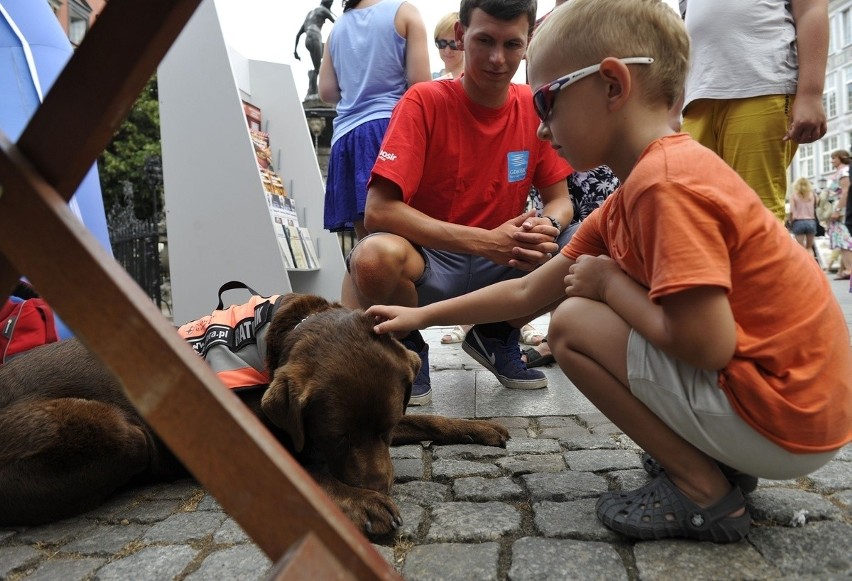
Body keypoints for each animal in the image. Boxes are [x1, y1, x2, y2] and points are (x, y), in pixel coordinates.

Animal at [0, 294, 506, 536]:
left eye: (383, 430)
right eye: (336, 437)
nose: (379, 486)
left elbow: (430, 421)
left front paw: (480, 428)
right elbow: (304, 472)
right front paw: (361, 501)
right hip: (121, 431)